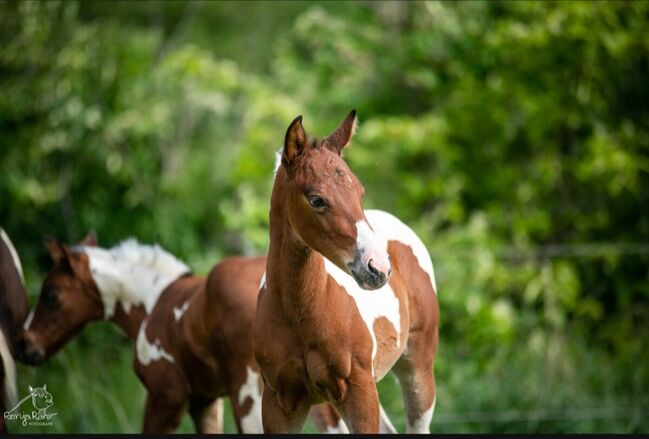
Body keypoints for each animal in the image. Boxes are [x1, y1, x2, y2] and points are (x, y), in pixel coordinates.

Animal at [16, 234, 344, 434]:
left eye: (51, 295)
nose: (23, 344)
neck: (151, 300)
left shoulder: (167, 396)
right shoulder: (204, 402)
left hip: (250, 395)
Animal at [253, 110, 440, 434]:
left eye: (359, 191)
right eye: (316, 199)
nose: (378, 267)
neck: (299, 314)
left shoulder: (359, 390)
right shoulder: (279, 402)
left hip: (418, 369)